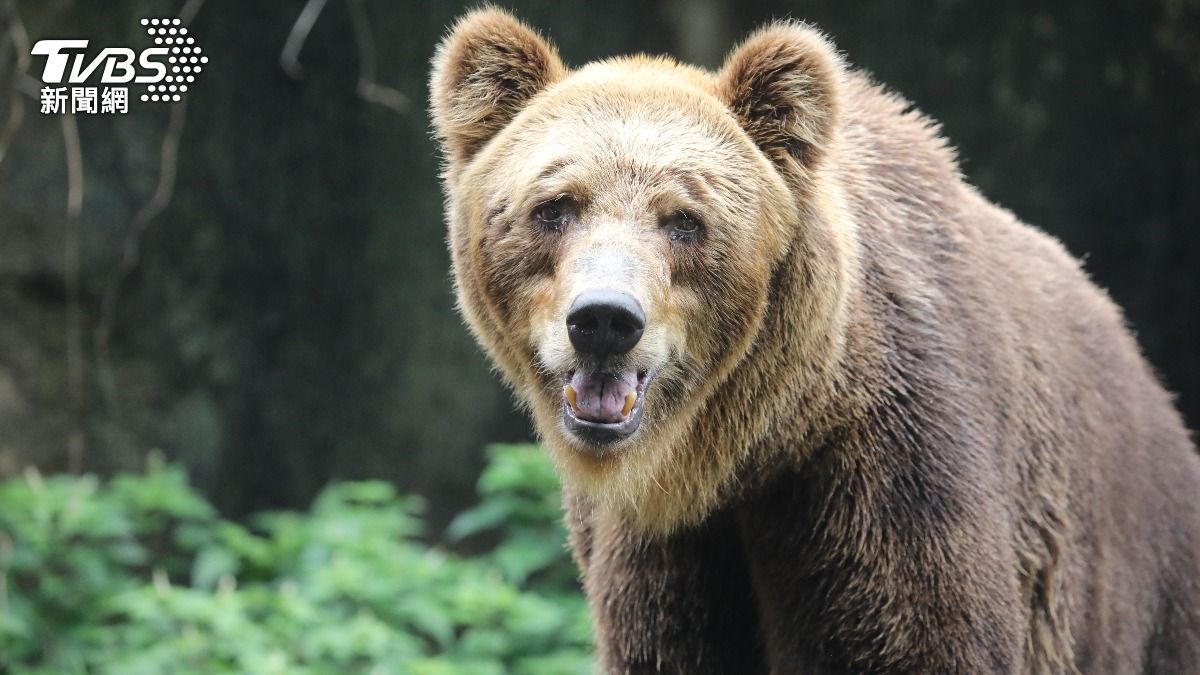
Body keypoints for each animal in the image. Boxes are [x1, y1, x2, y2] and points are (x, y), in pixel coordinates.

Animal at [430, 9, 1200, 673]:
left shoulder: (892, 471)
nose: (604, 320)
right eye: (554, 206)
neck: (742, 451)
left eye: (685, 219)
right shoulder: (662, 554)